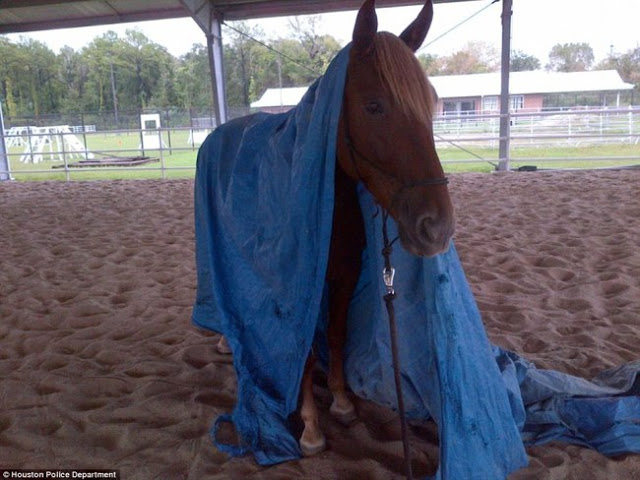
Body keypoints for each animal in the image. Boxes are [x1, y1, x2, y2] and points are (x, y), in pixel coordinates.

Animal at [220, 0, 456, 458]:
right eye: (374, 106)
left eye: (433, 102)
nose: (437, 226)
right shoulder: (301, 289)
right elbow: (306, 354)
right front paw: (311, 426)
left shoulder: (345, 277)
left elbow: (337, 336)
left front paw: (343, 401)